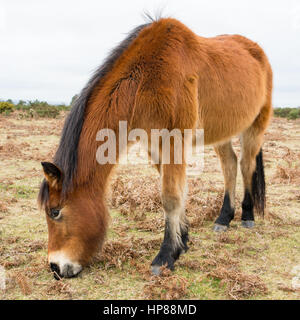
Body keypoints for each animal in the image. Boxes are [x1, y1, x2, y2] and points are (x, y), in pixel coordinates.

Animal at [37, 16, 272, 278]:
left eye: (55, 212)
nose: (55, 268)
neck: (145, 78)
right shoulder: (155, 147)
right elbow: (179, 192)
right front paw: (183, 241)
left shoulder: (173, 143)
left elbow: (170, 196)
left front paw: (166, 256)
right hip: (223, 133)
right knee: (229, 165)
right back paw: (223, 219)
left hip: (255, 127)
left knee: (246, 165)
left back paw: (247, 216)